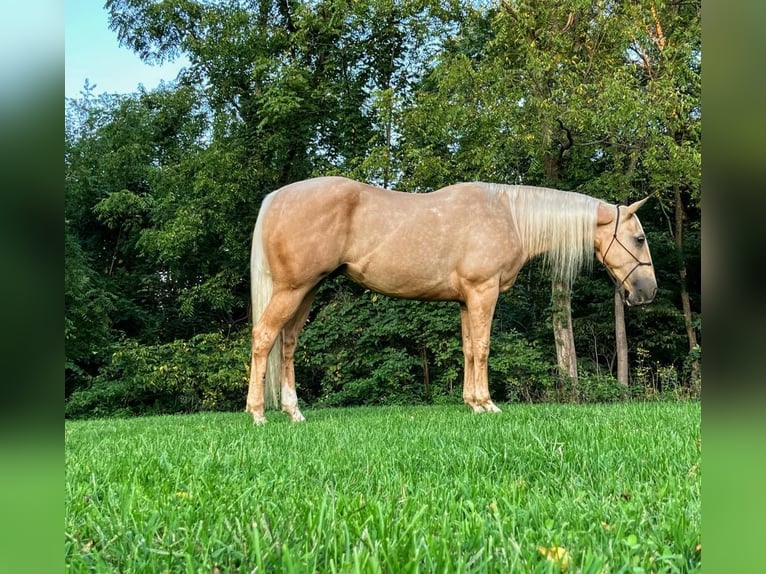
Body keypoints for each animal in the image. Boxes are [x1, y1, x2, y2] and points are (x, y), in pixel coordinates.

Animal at [248, 178, 660, 426]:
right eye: (639, 238)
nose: (647, 291)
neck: (510, 216)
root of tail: (275, 198)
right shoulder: (483, 292)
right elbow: (483, 346)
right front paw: (487, 403)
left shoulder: (466, 300)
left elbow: (468, 348)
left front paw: (471, 402)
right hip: (292, 289)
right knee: (264, 337)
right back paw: (257, 414)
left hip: (306, 291)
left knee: (287, 344)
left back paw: (294, 411)